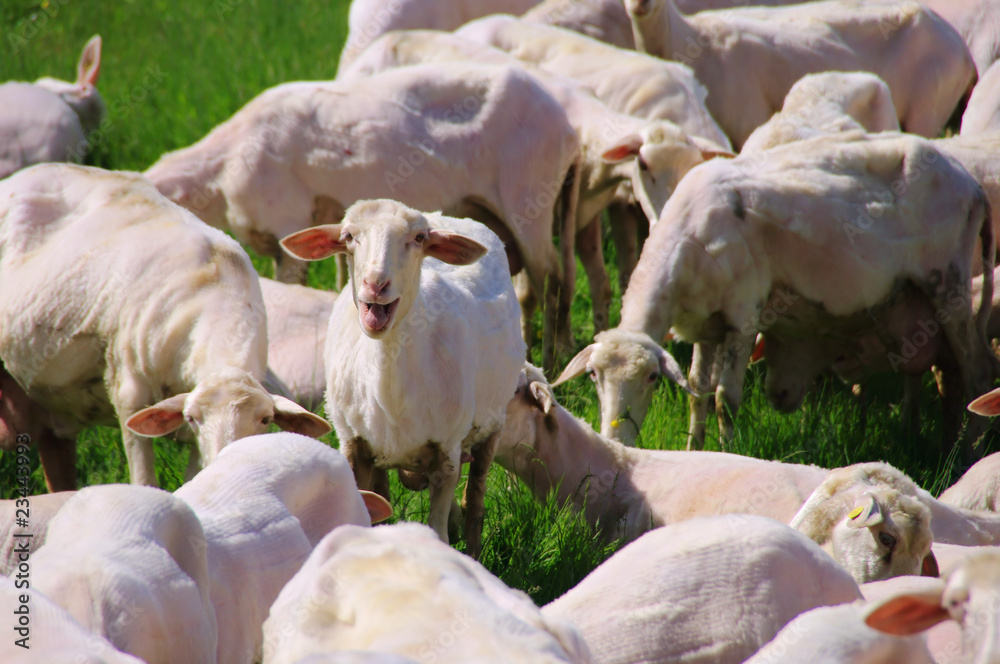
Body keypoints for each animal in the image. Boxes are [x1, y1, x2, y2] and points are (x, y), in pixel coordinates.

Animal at [144, 63, 578, 370]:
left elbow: (288, 288)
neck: (220, 170)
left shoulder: (287, 219)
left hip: (528, 195)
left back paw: (553, 356)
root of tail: (569, 128)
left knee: (551, 276)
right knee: (539, 281)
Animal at [281, 199, 525, 558]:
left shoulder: (447, 451)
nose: (375, 285)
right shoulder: (353, 443)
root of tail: (446, 217)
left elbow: (440, 531)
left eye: (419, 238)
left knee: (475, 501)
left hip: (493, 424)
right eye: (348, 236)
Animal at [555, 132, 996, 454]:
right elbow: (697, 392)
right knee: (951, 377)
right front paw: (693, 452)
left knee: (976, 372)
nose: (616, 442)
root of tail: (970, 183)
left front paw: (726, 453)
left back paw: (969, 452)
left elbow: (724, 399)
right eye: (593, 375)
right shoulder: (703, 325)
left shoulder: (743, 315)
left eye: (651, 378)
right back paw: (947, 443)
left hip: (950, 283)